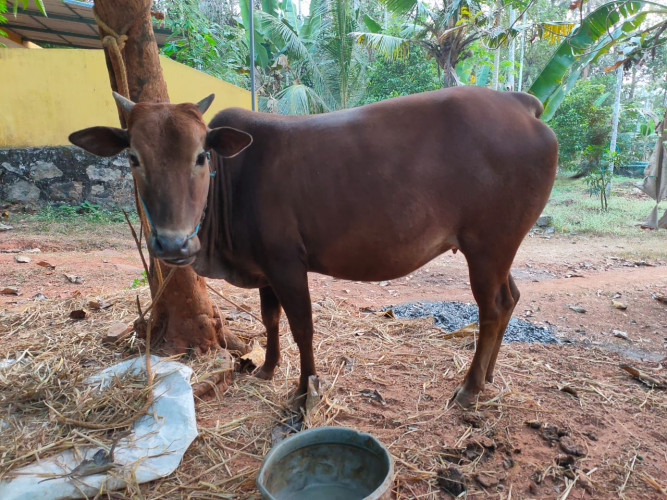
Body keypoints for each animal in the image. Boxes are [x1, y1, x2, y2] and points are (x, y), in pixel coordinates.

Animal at [69, 86, 558, 408]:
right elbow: (270, 320)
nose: (172, 242)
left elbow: (302, 327)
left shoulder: (287, 263)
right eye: (133, 158)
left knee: (493, 307)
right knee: (511, 297)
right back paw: (488, 374)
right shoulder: (264, 268)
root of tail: (519, 103)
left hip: (488, 246)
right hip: (499, 250)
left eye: (201, 156)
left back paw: (471, 387)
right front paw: (267, 368)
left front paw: (306, 389)